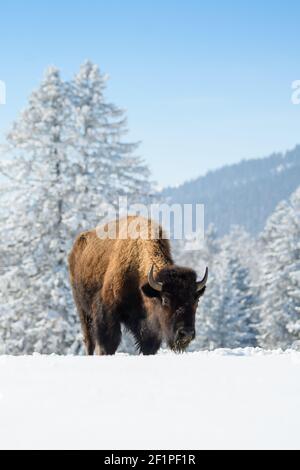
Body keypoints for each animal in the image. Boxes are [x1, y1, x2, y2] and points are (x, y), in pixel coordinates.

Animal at [69, 217, 207, 356]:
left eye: (196, 300)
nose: (186, 333)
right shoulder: (107, 312)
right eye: (165, 299)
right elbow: (108, 344)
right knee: (89, 341)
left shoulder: (149, 327)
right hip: (83, 311)